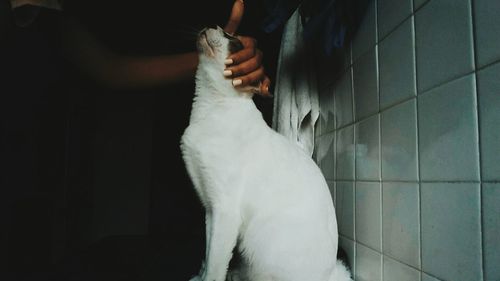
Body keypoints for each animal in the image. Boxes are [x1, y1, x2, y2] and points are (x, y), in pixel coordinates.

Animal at [181, 26, 352, 280]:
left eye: (231, 38)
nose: (213, 27)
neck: (206, 109)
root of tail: (332, 272)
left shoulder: (224, 210)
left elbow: (215, 265)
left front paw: (208, 276)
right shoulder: (210, 208)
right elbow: (209, 255)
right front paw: (199, 276)